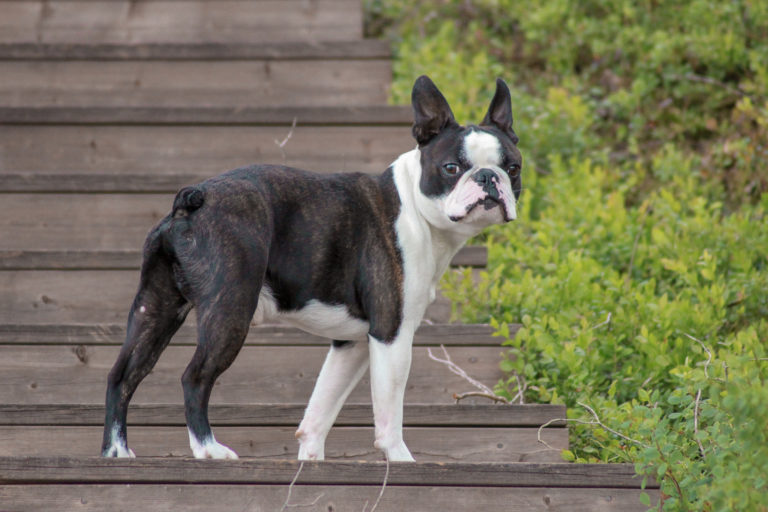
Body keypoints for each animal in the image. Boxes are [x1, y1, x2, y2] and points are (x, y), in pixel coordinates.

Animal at [102, 75, 520, 460]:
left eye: (513, 168)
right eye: (451, 168)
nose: (488, 177)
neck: (415, 209)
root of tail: (195, 199)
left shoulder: (351, 343)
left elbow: (322, 407)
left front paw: (311, 459)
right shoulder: (391, 334)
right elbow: (388, 412)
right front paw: (400, 459)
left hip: (155, 306)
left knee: (123, 374)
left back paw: (116, 450)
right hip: (230, 309)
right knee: (195, 377)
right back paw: (208, 449)